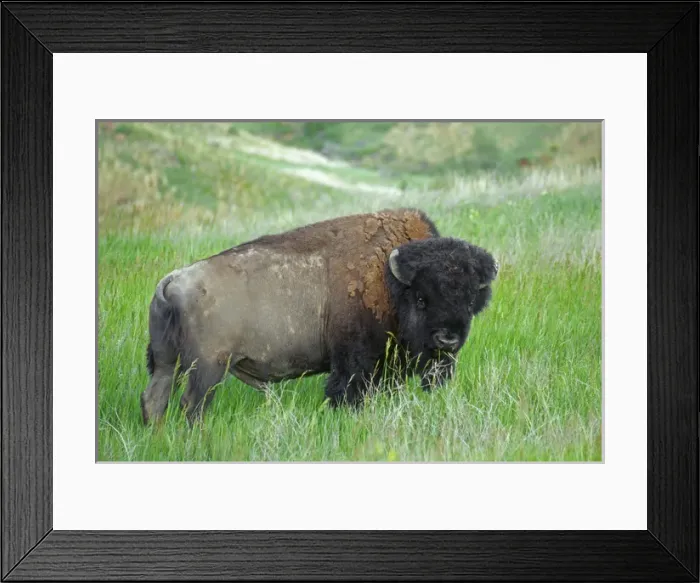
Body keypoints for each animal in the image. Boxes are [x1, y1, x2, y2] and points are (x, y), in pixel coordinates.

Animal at [140, 208, 498, 423]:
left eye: (470, 301)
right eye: (422, 299)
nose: (447, 339)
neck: (390, 280)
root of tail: (172, 280)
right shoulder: (355, 362)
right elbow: (346, 391)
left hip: (167, 362)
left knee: (154, 398)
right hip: (208, 367)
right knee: (192, 404)